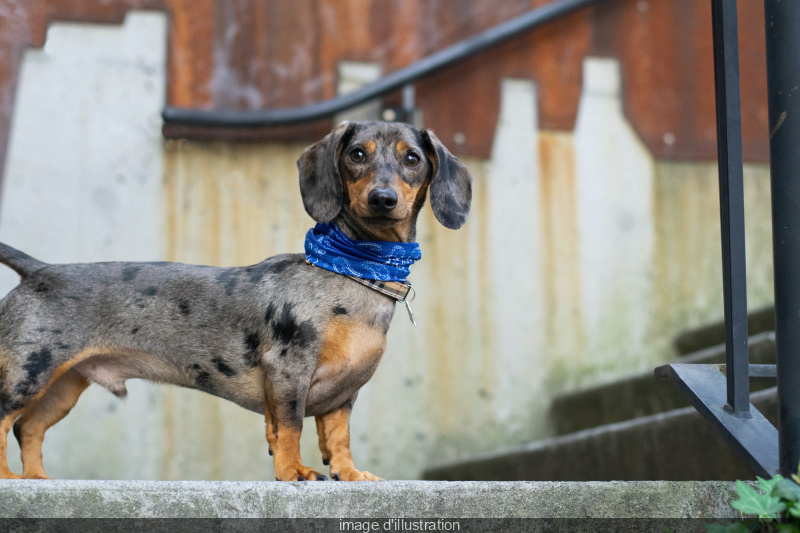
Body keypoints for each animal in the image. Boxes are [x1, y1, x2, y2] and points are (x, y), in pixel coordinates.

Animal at [0, 120, 472, 482]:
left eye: (412, 159)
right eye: (357, 153)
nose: (382, 199)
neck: (351, 271)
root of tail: (38, 270)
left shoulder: (343, 394)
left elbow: (338, 439)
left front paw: (350, 474)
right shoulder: (288, 371)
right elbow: (289, 428)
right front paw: (294, 473)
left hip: (62, 384)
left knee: (28, 429)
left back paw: (36, 479)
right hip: (27, 372)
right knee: (5, 421)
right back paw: (11, 479)